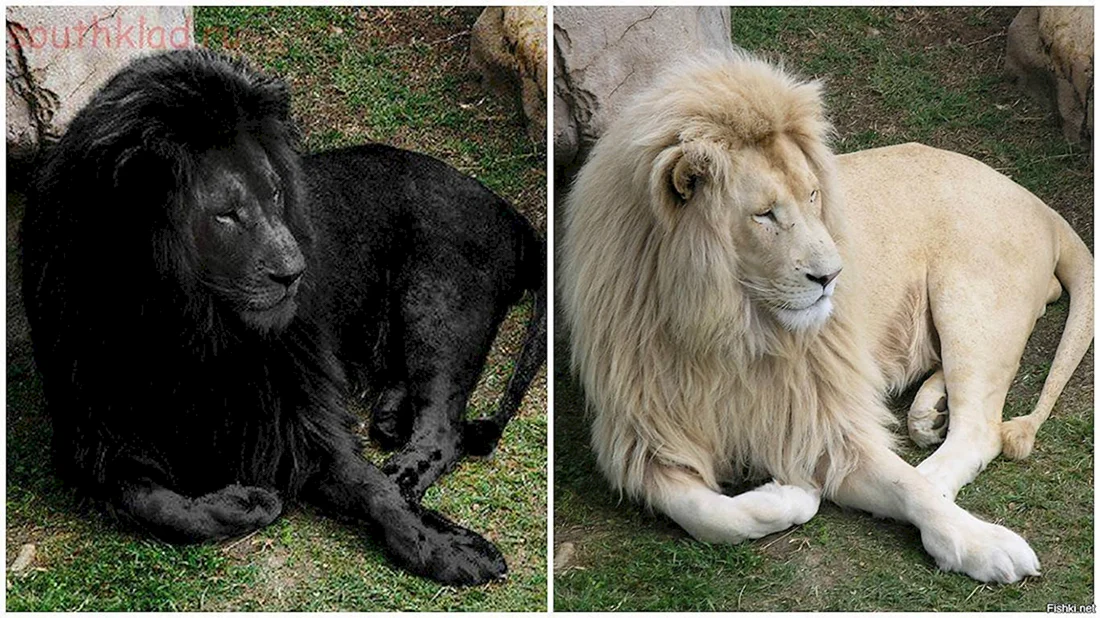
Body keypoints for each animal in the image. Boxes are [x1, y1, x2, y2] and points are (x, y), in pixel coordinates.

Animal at [21, 49, 546, 585]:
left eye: (276, 193)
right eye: (225, 214)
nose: (296, 273)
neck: (189, 329)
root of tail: (506, 207)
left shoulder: (299, 417)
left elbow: (372, 489)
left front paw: (447, 546)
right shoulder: (97, 438)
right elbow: (155, 504)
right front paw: (246, 503)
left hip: (439, 302)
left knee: (444, 430)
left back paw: (402, 470)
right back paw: (387, 414)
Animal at [559, 51, 1092, 584]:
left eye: (814, 196)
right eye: (765, 214)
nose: (833, 276)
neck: (728, 331)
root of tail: (1036, 200)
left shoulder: (824, 423)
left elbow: (905, 487)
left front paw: (978, 542)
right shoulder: (646, 440)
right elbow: (709, 516)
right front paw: (789, 496)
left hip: (971, 302)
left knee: (978, 432)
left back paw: (934, 466)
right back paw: (927, 413)